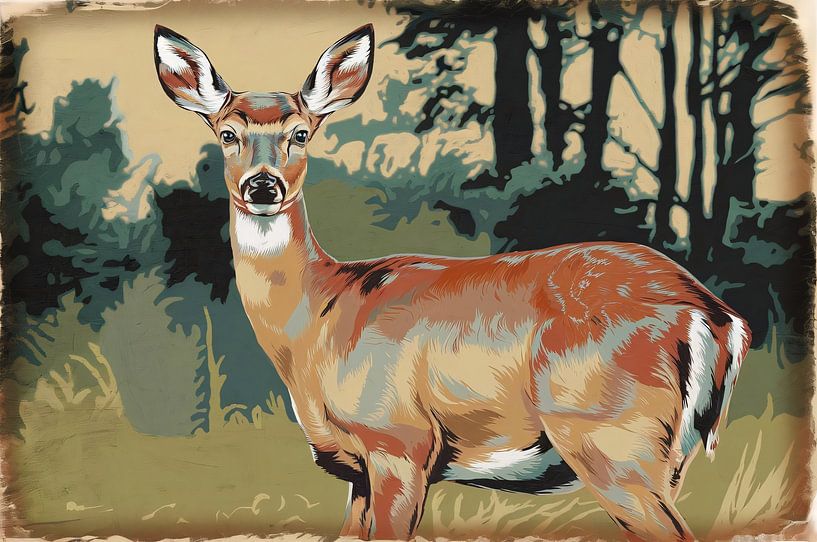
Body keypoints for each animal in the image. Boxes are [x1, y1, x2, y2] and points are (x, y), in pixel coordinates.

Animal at [154, 23, 751, 542]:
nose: (263, 186)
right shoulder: (357, 471)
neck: (316, 321)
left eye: (301, 133)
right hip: (666, 455)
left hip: (609, 438)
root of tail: (715, 315)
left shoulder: (400, 441)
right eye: (227, 134)